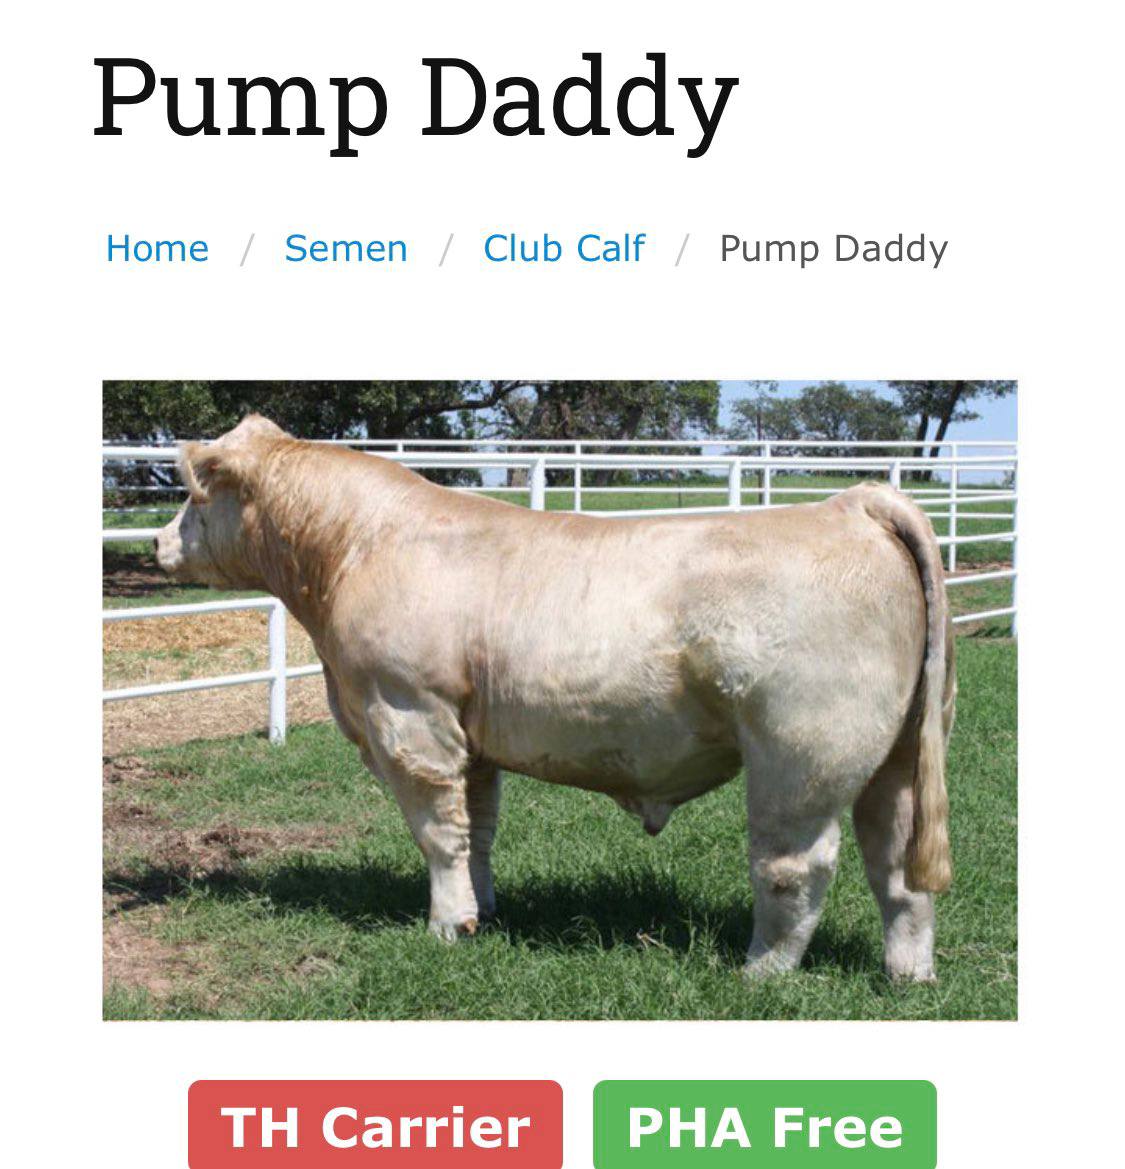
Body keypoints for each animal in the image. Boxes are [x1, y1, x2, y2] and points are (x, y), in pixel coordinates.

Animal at [155, 415, 955, 981]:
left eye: (192, 494)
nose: (158, 545)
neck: (353, 549)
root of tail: (854, 503)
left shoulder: (407, 715)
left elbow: (437, 832)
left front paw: (447, 925)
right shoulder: (471, 736)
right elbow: (477, 828)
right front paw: (484, 911)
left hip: (802, 753)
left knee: (797, 866)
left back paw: (759, 972)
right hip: (898, 752)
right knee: (896, 866)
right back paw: (907, 975)